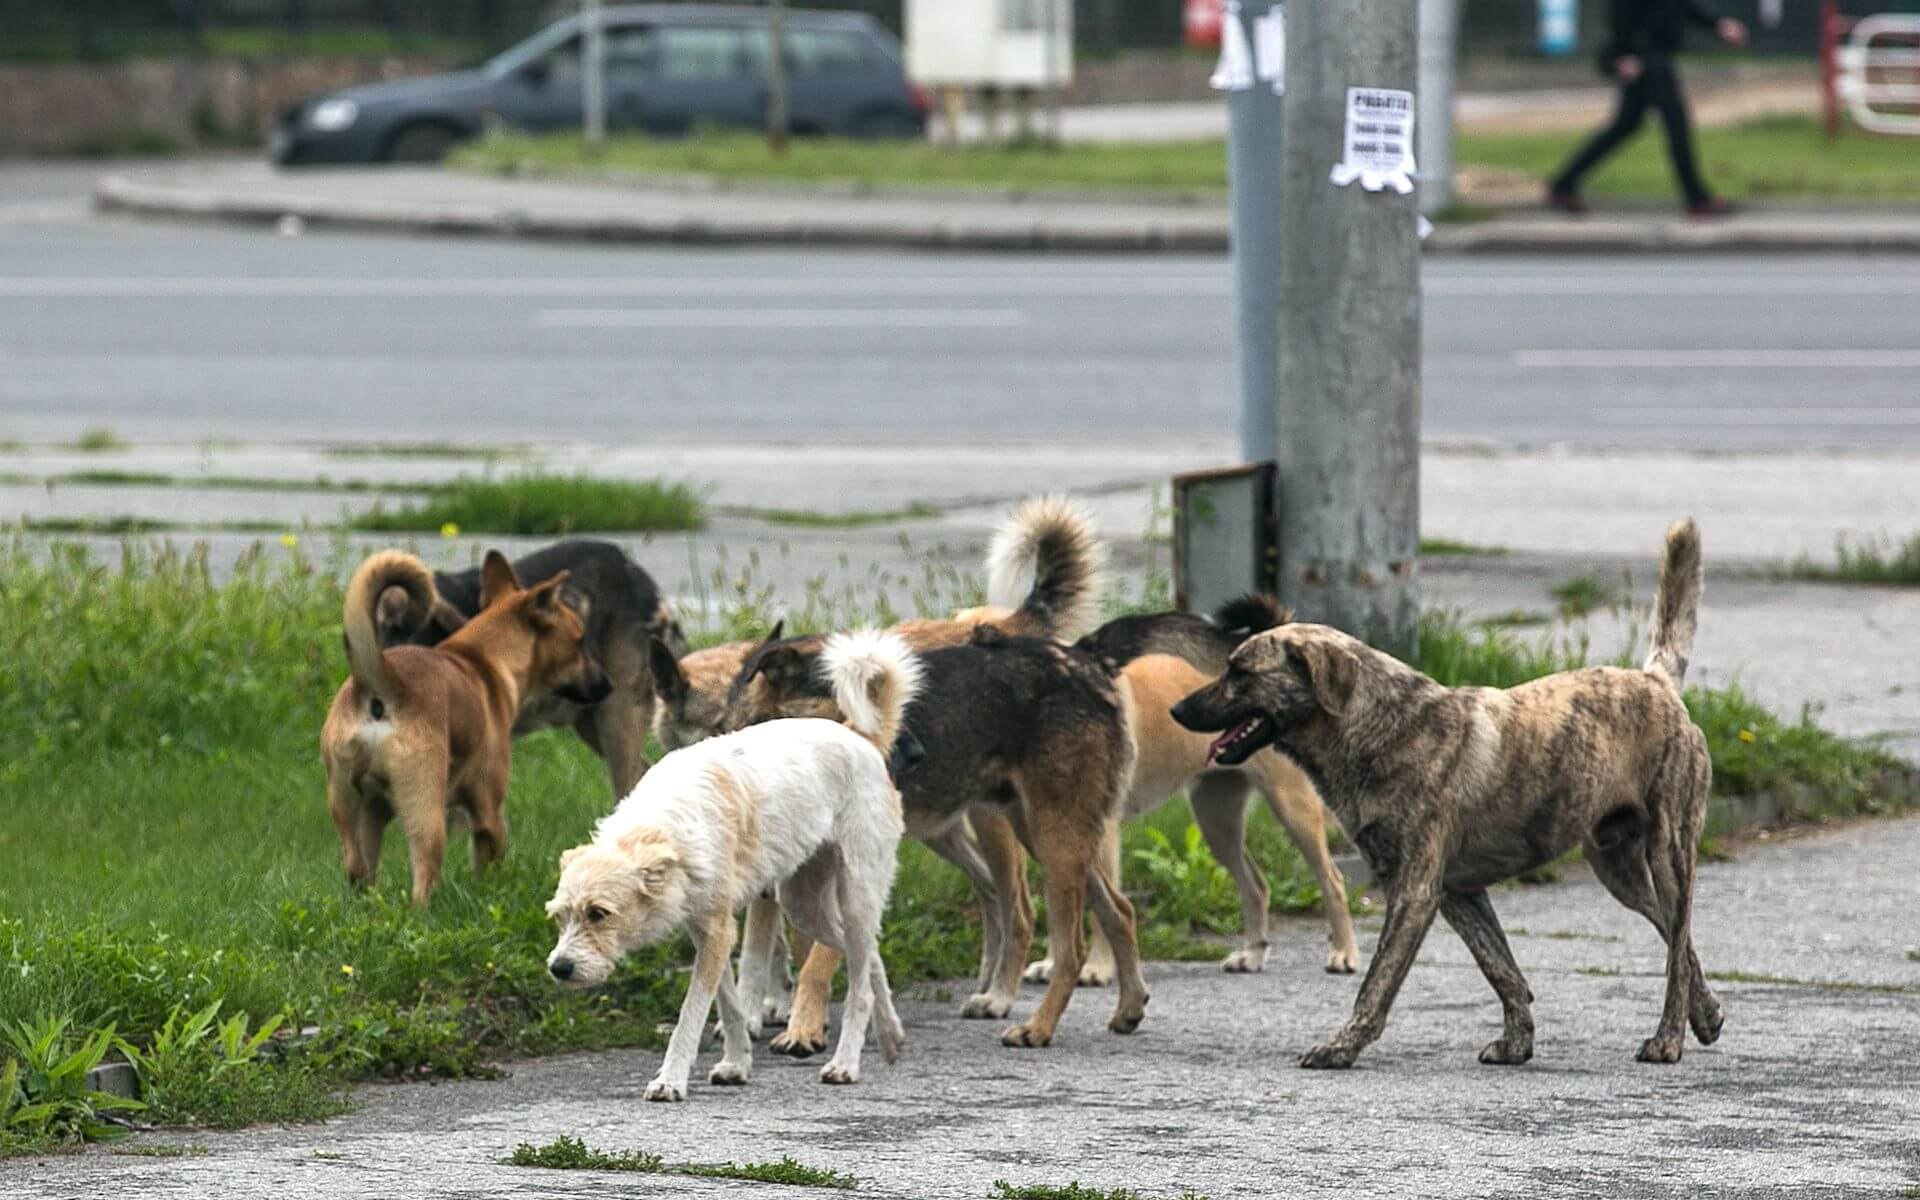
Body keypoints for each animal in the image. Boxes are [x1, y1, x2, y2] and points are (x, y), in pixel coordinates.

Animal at [318, 549, 610, 902]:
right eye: (579, 642)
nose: (608, 685)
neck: (484, 659)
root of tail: (380, 684)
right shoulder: (489, 813)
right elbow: (488, 863)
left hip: (351, 810)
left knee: (358, 869)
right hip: (425, 812)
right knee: (422, 878)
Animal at [549, 625, 921, 1105]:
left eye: (599, 914)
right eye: (560, 918)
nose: (559, 969)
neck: (664, 828)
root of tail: (860, 737)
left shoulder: (718, 933)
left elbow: (693, 1014)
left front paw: (671, 1079)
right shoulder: (710, 931)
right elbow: (729, 1005)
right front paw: (737, 1063)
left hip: (854, 894)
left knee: (858, 983)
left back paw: (845, 1063)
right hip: (804, 904)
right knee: (869, 956)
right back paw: (891, 1034)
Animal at [1167, 522, 1728, 1067]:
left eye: (1240, 671)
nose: (1176, 710)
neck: (1378, 727)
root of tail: (1656, 682)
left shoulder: (1414, 893)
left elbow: (1376, 983)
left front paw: (1341, 1046)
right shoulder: (1458, 891)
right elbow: (1502, 969)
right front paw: (1517, 1042)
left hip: (1669, 854)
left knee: (1677, 946)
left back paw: (1668, 1039)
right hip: (1617, 869)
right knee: (1679, 940)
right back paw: (1705, 1014)